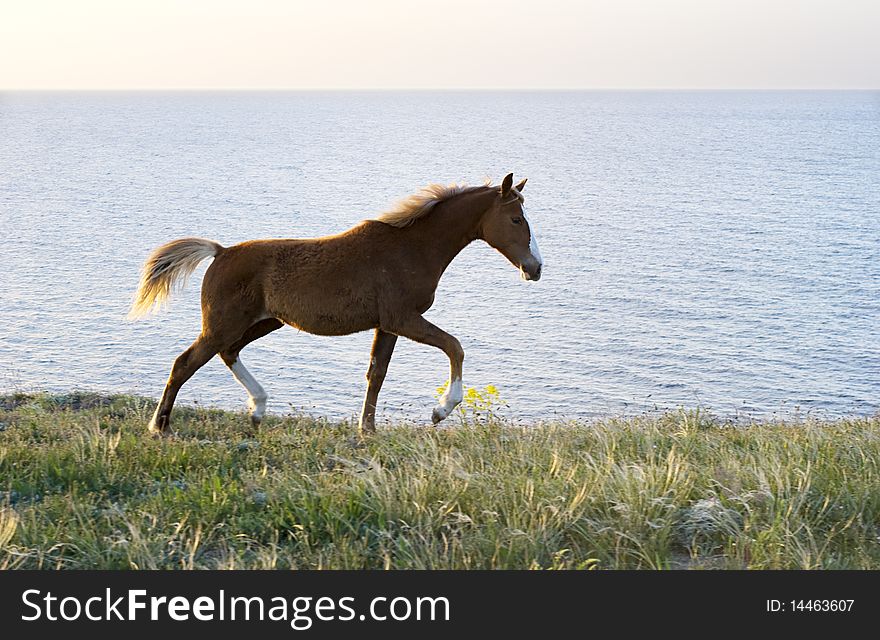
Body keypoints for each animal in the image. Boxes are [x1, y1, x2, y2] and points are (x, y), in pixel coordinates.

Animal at [129, 174, 544, 436]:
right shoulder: (402, 317)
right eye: (515, 219)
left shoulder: (387, 324)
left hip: (265, 322)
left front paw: (368, 429)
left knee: (227, 352)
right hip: (225, 323)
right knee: (186, 362)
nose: (535, 268)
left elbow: (377, 374)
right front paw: (441, 409)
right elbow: (454, 347)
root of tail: (221, 252)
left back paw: (258, 408)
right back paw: (161, 426)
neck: (411, 249)